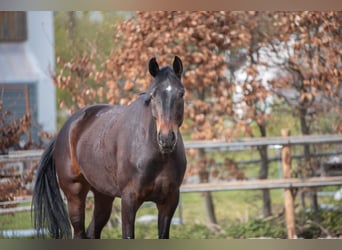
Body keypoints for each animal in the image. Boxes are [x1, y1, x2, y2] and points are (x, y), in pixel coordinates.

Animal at [32, 56, 187, 238]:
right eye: (153, 95)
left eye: (181, 93)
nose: (166, 138)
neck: (157, 156)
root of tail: (64, 130)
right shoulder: (129, 200)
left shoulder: (169, 201)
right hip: (75, 195)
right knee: (79, 231)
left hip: (103, 196)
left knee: (93, 231)